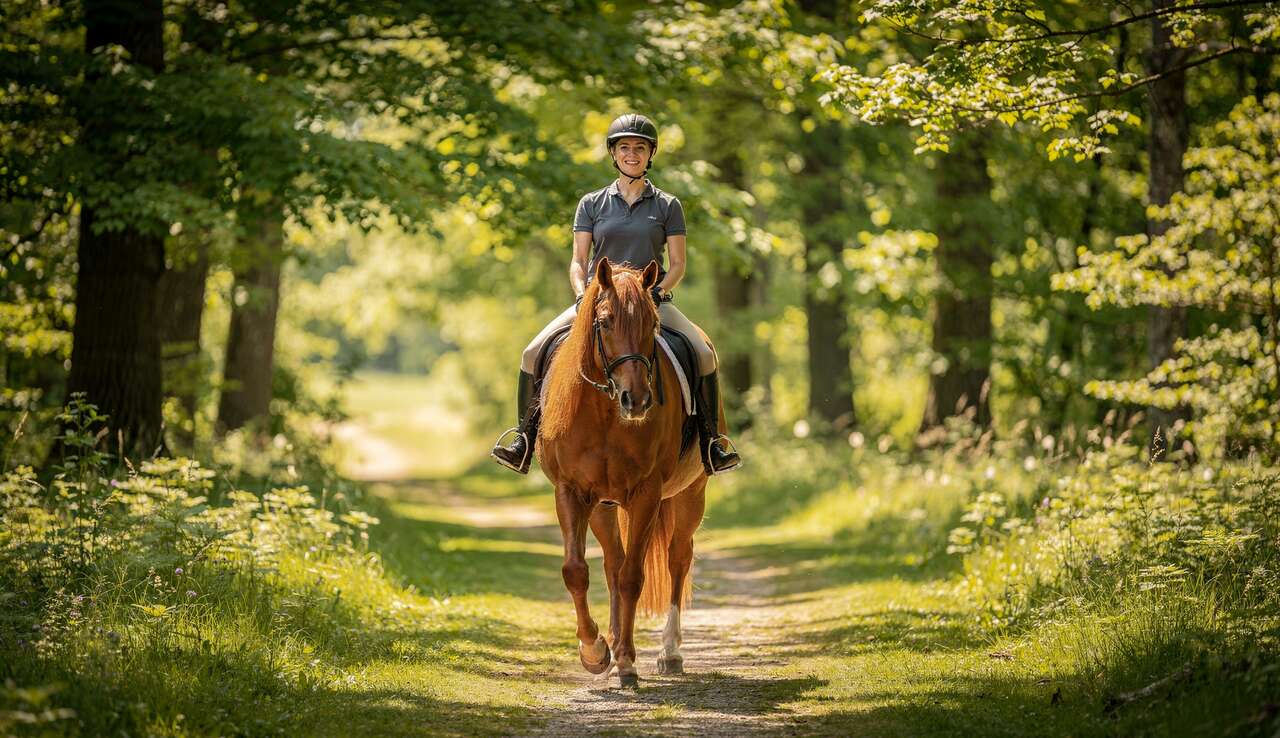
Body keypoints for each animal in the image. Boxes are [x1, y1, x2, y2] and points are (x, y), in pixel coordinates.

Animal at [537, 257, 712, 688]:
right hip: (603, 505)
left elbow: (635, 577)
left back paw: (669, 652)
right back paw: (614, 646)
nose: (638, 400)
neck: (604, 413)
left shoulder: (646, 494)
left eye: (652, 323)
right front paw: (595, 651)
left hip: (690, 493)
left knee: (677, 558)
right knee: (612, 565)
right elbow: (576, 571)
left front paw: (629, 663)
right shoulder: (570, 491)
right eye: (604, 321)